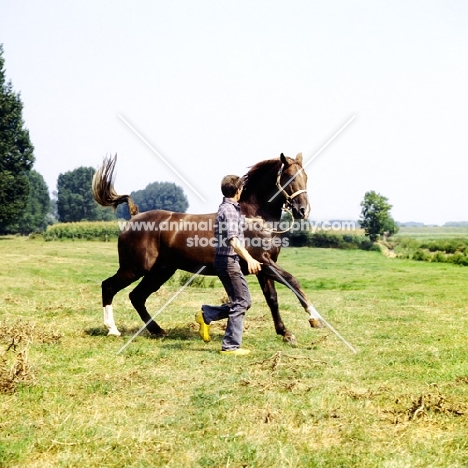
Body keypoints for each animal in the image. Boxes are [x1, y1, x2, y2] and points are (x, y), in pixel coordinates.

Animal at [93, 154, 324, 344]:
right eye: (289, 178)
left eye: (306, 177)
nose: (303, 210)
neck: (254, 217)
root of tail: (134, 217)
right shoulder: (263, 262)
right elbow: (293, 281)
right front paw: (314, 318)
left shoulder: (263, 268)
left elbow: (272, 299)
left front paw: (285, 333)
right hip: (135, 268)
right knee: (109, 286)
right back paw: (112, 329)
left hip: (161, 271)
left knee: (137, 296)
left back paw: (158, 330)